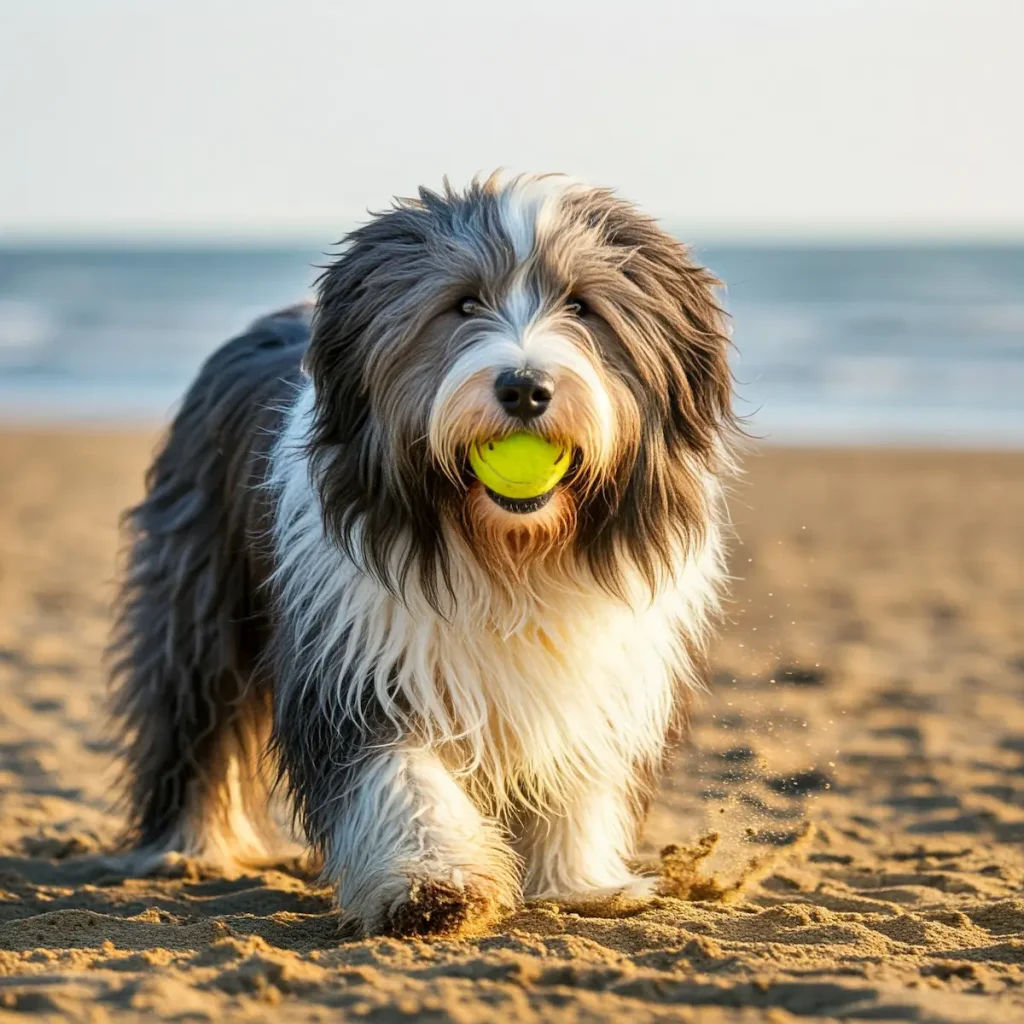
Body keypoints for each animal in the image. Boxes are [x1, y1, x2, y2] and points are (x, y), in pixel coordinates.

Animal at [110, 174, 737, 937]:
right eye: (461, 303)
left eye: (582, 307)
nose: (524, 387)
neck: (507, 555)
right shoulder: (357, 660)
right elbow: (397, 773)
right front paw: (436, 883)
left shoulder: (600, 673)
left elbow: (583, 773)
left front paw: (580, 882)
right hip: (200, 596)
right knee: (193, 718)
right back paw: (189, 846)